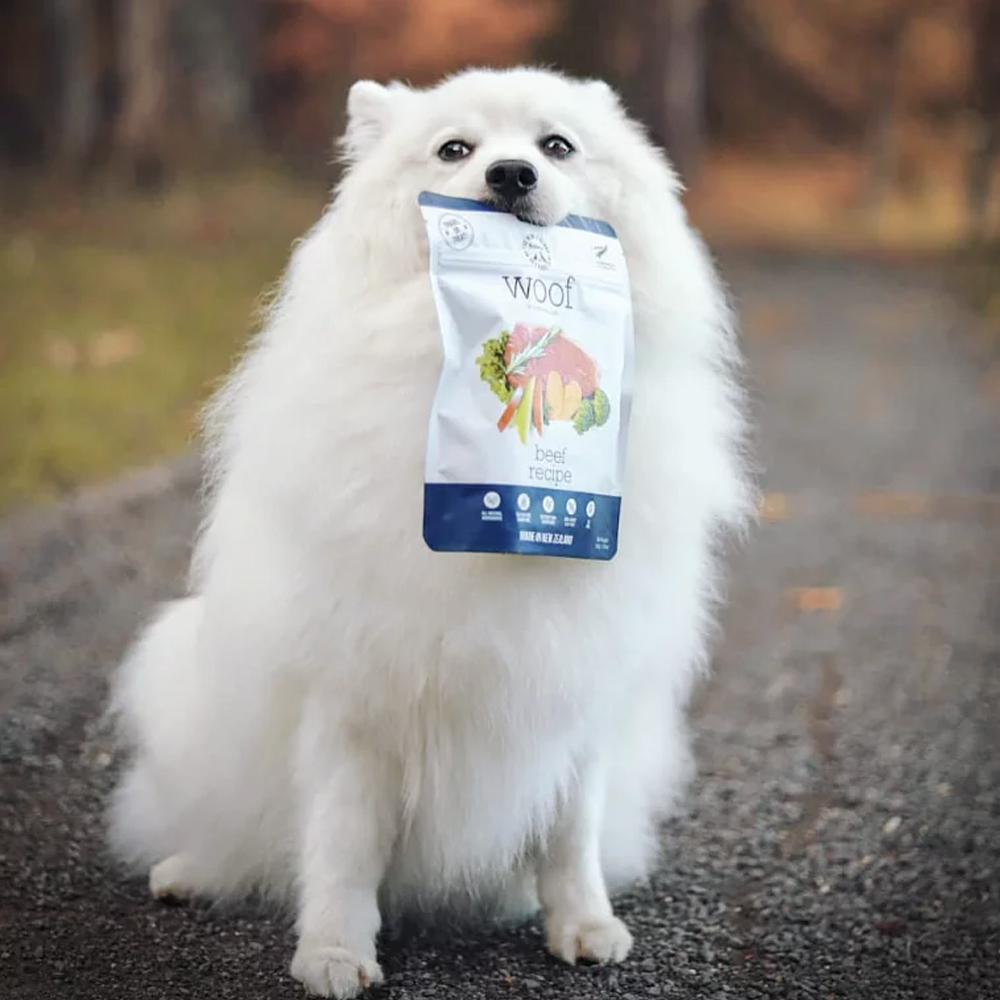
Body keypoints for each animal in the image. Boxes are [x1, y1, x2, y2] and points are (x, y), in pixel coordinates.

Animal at [107, 66, 752, 996]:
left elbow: (571, 833)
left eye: (556, 145)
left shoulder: (576, 683)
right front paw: (334, 953)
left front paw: (583, 925)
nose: (511, 175)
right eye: (455, 149)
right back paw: (191, 870)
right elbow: (342, 845)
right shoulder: (354, 695)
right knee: (229, 830)